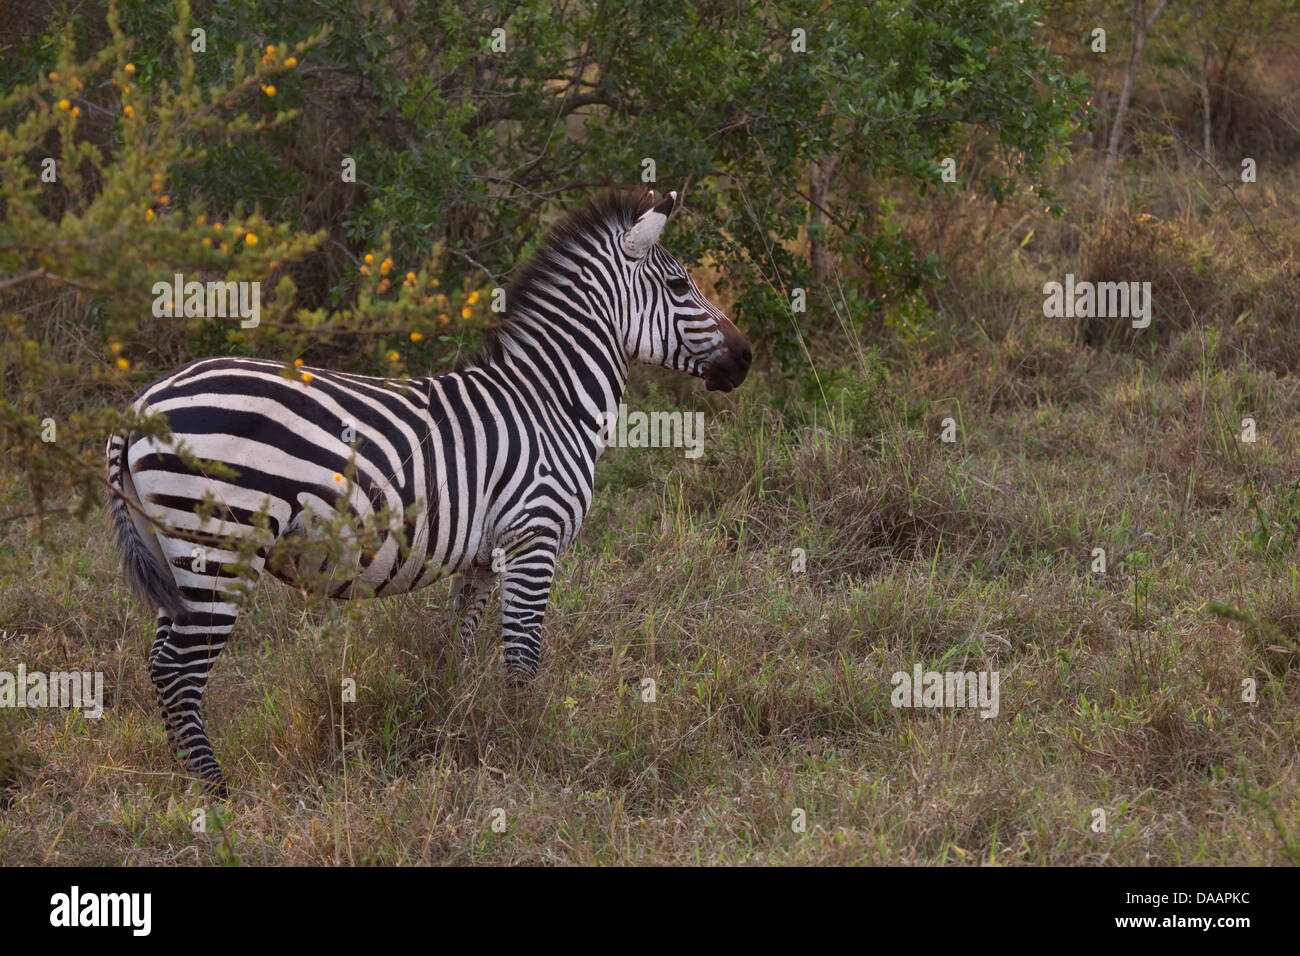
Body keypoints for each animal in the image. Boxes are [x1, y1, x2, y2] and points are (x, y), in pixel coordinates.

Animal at [106, 188, 751, 795]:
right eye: (679, 284)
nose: (746, 360)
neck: (550, 402)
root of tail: (140, 405)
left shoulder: (486, 559)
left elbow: (458, 650)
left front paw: (457, 733)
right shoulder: (534, 539)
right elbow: (523, 662)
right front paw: (525, 752)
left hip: (175, 550)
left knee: (161, 664)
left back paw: (186, 781)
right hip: (220, 545)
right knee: (180, 669)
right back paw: (213, 791)